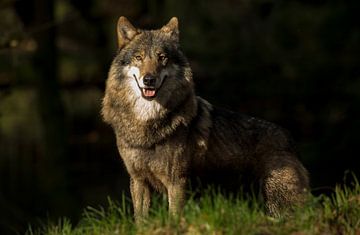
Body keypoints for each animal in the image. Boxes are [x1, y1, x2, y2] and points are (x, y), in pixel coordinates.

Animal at [101, 16, 310, 220]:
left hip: (278, 202)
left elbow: (174, 216)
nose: (149, 79)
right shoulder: (139, 180)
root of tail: (289, 139)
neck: (148, 124)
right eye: (139, 57)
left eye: (162, 58)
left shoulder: (176, 182)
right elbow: (140, 220)